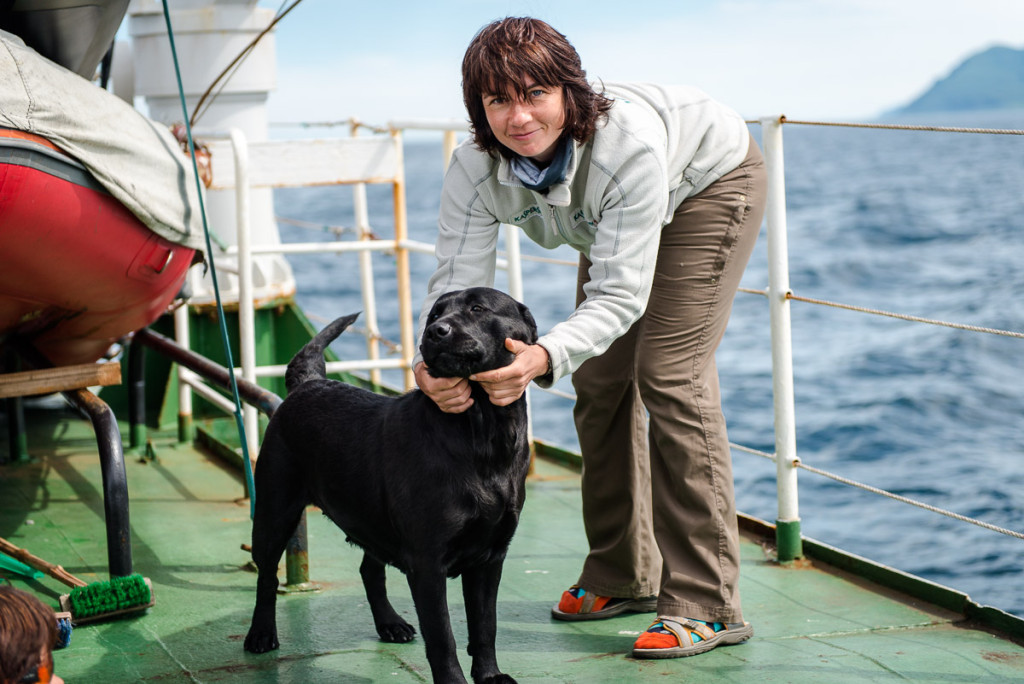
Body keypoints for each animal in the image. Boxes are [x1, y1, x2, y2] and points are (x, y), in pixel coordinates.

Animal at [244, 286, 540, 684]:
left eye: (478, 308)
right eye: (435, 315)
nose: (437, 332)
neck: (481, 432)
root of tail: (308, 383)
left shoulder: (491, 556)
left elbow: (485, 625)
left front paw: (491, 675)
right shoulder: (428, 562)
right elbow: (443, 637)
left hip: (372, 515)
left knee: (369, 570)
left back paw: (390, 624)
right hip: (275, 510)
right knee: (266, 576)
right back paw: (261, 634)